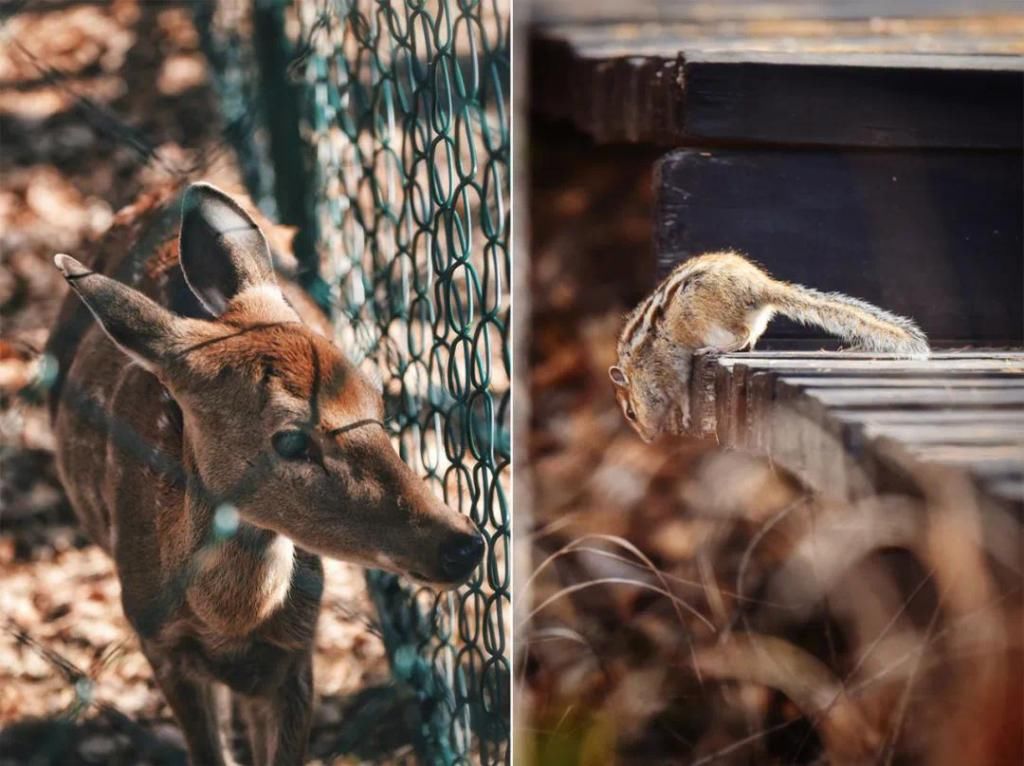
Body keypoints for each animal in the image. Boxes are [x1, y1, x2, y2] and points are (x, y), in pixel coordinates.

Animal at [44, 184, 483, 766]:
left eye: (377, 400)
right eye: (291, 439)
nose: (463, 544)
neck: (227, 621)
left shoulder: (296, 649)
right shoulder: (155, 638)